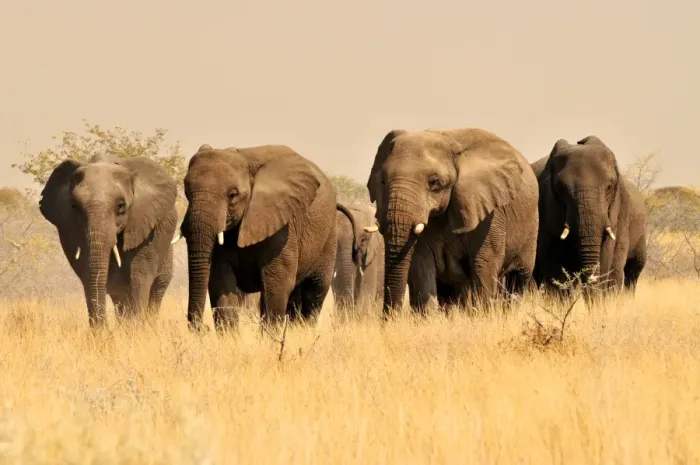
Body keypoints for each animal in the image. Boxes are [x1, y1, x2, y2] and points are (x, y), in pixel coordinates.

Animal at [39, 154, 178, 326]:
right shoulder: (67, 228)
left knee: (158, 285)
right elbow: (90, 273)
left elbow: (138, 276)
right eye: (74, 206)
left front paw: (136, 328)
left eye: (120, 206)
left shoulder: (145, 225)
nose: (103, 328)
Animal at [173, 143, 337, 332]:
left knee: (314, 291)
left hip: (329, 235)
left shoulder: (282, 226)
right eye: (186, 192)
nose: (203, 328)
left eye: (232, 195)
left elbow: (277, 283)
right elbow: (221, 282)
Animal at [366, 127, 540, 315]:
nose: (389, 317)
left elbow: (484, 262)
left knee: (518, 277)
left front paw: (483, 315)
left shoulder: (489, 213)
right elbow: (421, 263)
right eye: (382, 181)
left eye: (434, 182)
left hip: (531, 225)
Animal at [531, 135, 647, 294]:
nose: (591, 279)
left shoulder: (617, 209)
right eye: (560, 189)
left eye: (609, 187)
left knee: (633, 270)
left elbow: (606, 255)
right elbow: (552, 261)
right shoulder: (545, 204)